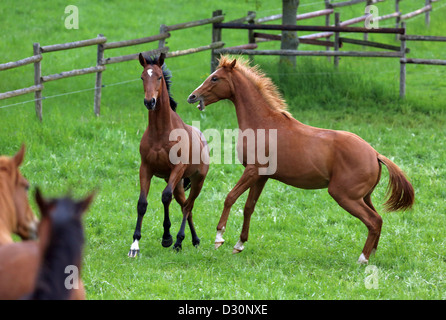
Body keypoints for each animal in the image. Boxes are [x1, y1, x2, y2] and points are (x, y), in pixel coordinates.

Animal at [127, 52, 207, 258]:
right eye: (142, 77)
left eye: (159, 77)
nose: (149, 102)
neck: (161, 132)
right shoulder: (146, 168)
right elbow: (142, 203)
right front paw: (134, 245)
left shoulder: (176, 169)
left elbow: (165, 197)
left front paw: (167, 238)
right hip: (179, 184)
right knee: (185, 206)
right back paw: (195, 240)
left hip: (197, 181)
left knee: (188, 206)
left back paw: (179, 241)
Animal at [188, 56, 414, 264]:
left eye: (215, 77)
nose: (192, 96)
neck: (263, 123)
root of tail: (375, 154)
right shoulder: (262, 176)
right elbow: (249, 207)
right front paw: (239, 244)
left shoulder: (252, 170)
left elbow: (230, 197)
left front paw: (219, 238)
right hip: (363, 197)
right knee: (379, 220)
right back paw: (372, 256)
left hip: (344, 195)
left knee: (373, 221)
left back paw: (362, 259)